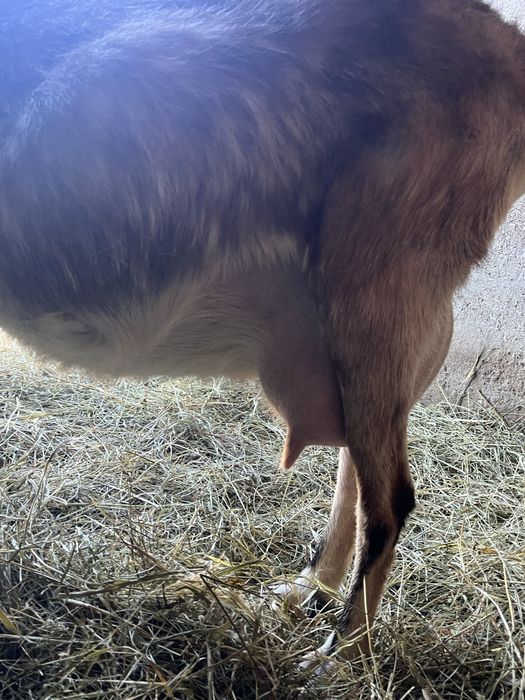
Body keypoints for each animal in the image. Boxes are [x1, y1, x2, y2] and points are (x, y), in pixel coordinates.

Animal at [1, 0, 524, 661]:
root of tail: (504, 42)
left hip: (379, 287)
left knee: (391, 498)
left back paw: (336, 658)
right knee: (360, 467)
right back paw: (305, 591)